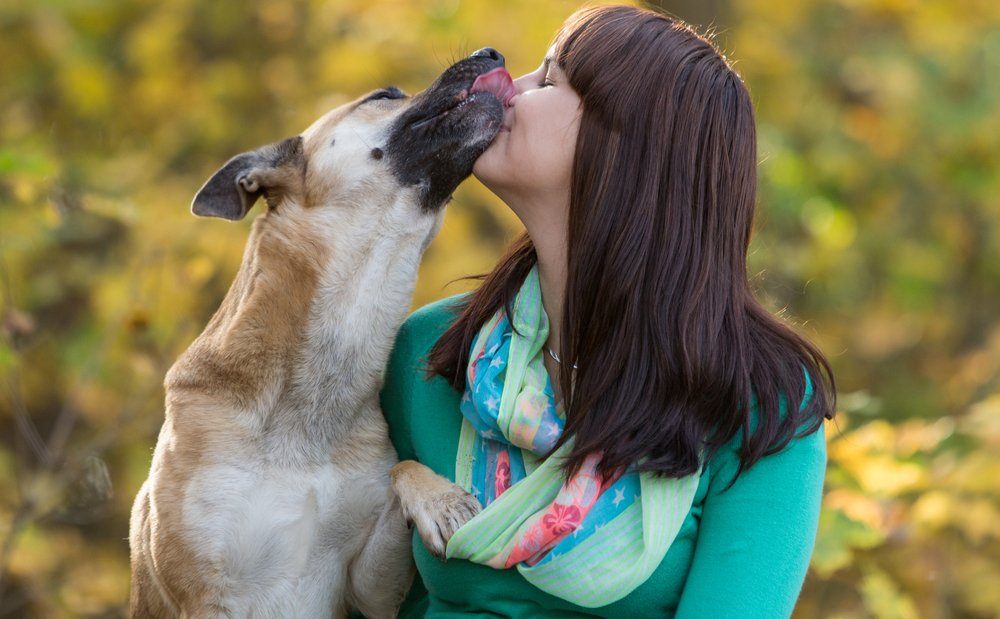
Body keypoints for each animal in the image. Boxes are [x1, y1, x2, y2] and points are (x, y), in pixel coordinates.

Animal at [128, 49, 512, 619]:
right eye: (383, 96)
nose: (491, 54)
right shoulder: (205, 595)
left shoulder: (369, 589)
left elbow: (401, 471)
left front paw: (439, 501)